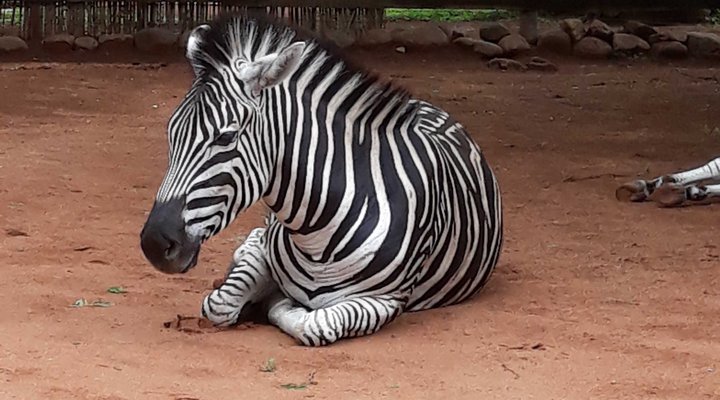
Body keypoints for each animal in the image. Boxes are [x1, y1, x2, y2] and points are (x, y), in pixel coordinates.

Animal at [139, 13, 504, 346]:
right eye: (171, 133)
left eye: (225, 137)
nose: (154, 244)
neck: (317, 235)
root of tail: (427, 106)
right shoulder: (265, 249)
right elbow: (220, 302)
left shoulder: (386, 300)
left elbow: (315, 323)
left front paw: (275, 302)